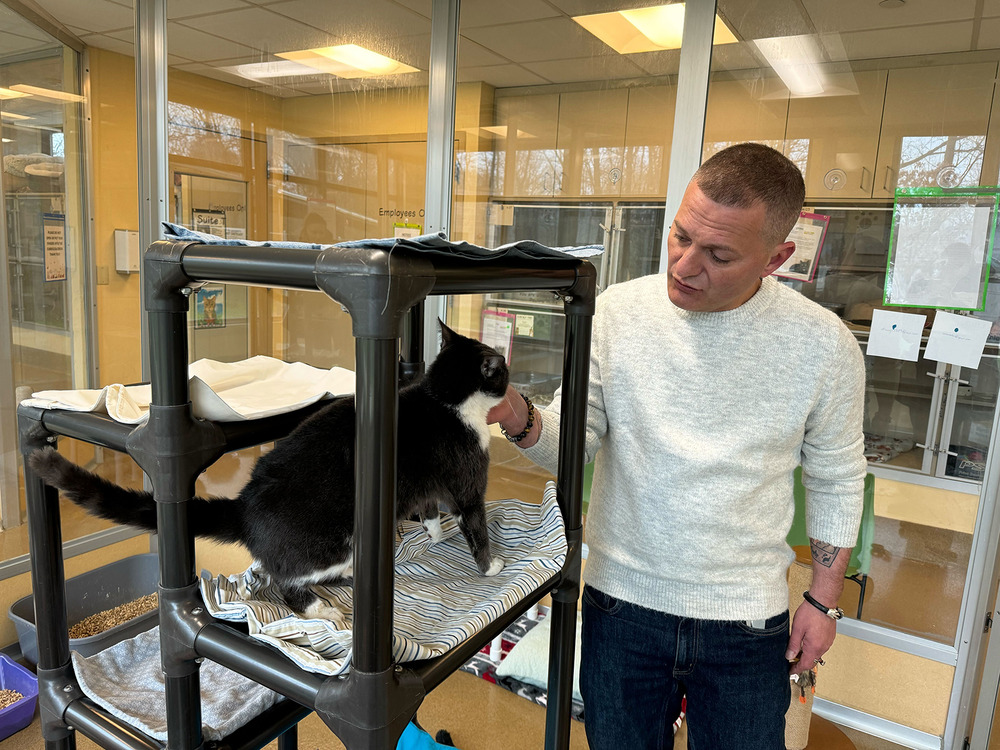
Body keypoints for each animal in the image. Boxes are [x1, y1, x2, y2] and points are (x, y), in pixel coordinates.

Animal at [29, 324, 508, 624]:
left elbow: (429, 509)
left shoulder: (427, 485)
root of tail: (245, 506)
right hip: (335, 541)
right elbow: (474, 521)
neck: (443, 398)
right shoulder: (467, 478)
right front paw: (491, 566)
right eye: (500, 368)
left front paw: (436, 533)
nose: (508, 367)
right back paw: (321, 607)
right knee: (282, 580)